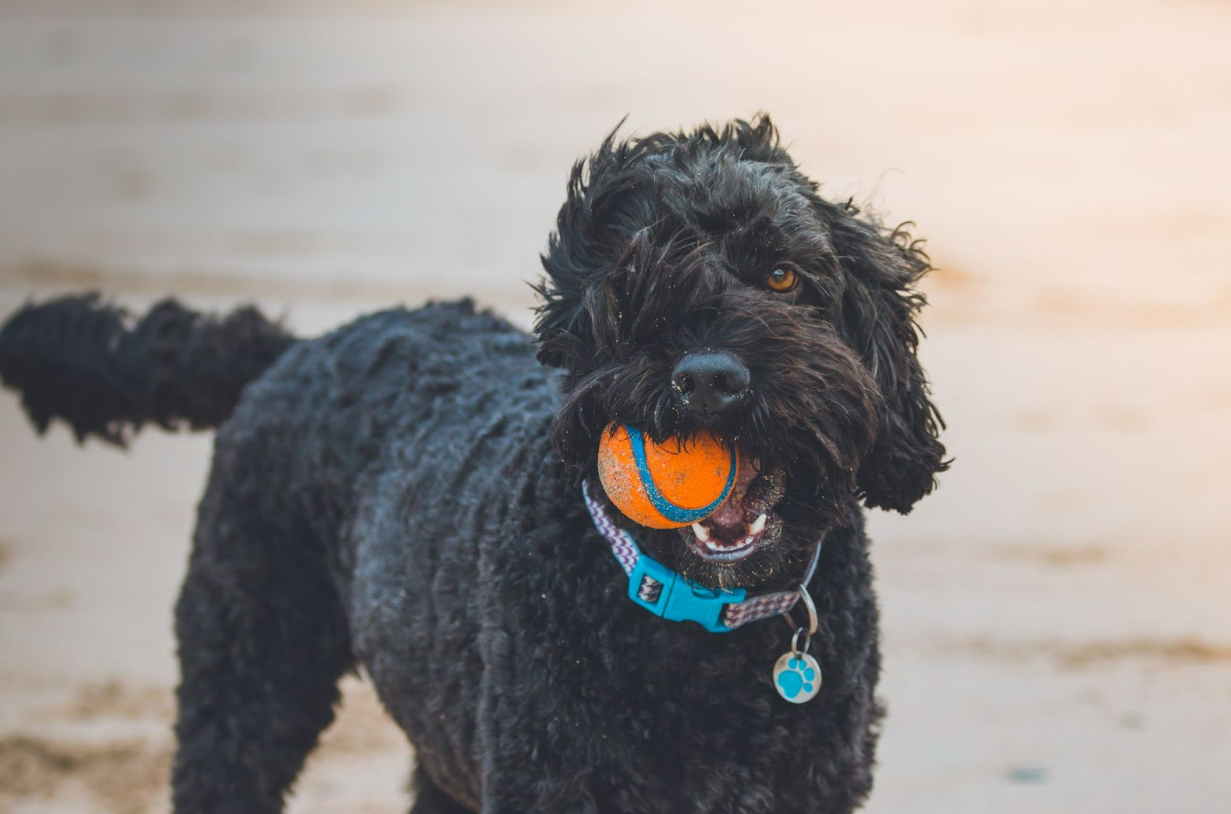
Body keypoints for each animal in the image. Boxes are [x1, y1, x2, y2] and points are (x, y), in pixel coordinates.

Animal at [0, 115, 945, 812]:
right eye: (629, 286)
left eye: (782, 276)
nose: (708, 379)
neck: (701, 629)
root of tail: (299, 346)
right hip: (247, 675)